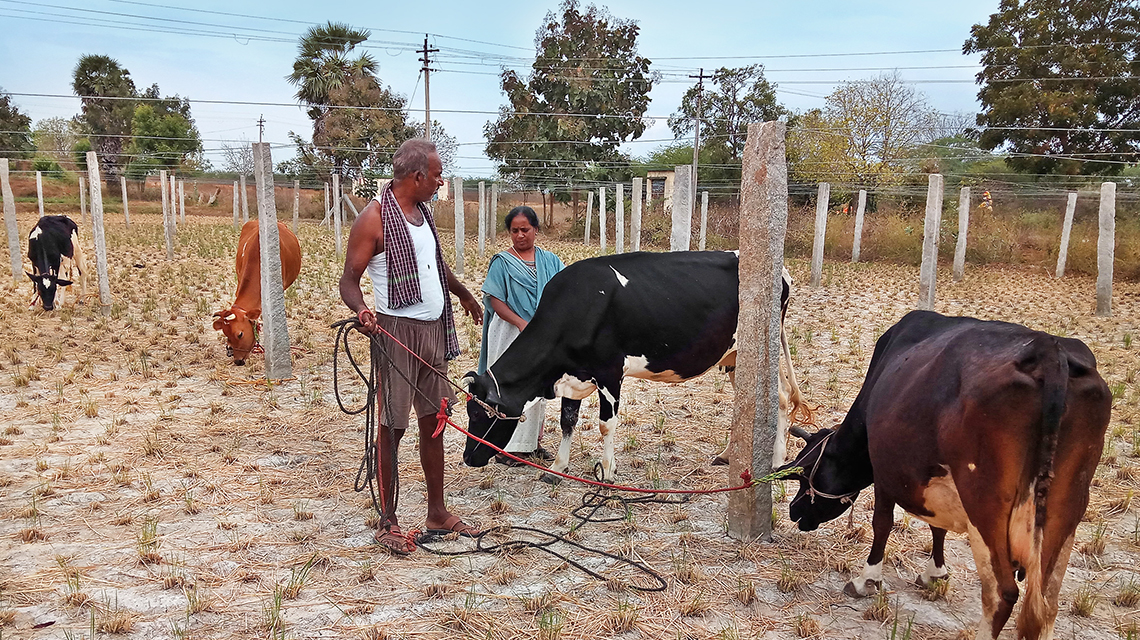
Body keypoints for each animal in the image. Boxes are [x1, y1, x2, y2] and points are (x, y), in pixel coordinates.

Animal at [458, 249, 807, 479]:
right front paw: (557, 468)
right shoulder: (573, 375)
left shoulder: (610, 373)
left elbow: (605, 424)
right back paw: (726, 456)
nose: (468, 458)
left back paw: (777, 461)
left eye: (478, 415)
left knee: (780, 398)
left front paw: (607, 472)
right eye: (468, 411)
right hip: (733, 357)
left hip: (760, 350)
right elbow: (568, 421)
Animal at [779, 310, 1108, 638]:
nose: (794, 511)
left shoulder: (885, 471)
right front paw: (935, 573)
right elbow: (939, 528)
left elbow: (882, 523)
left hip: (985, 507)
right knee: (1047, 603)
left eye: (806, 475)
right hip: (1066, 511)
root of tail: (1048, 351)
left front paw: (866, 580)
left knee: (1002, 593)